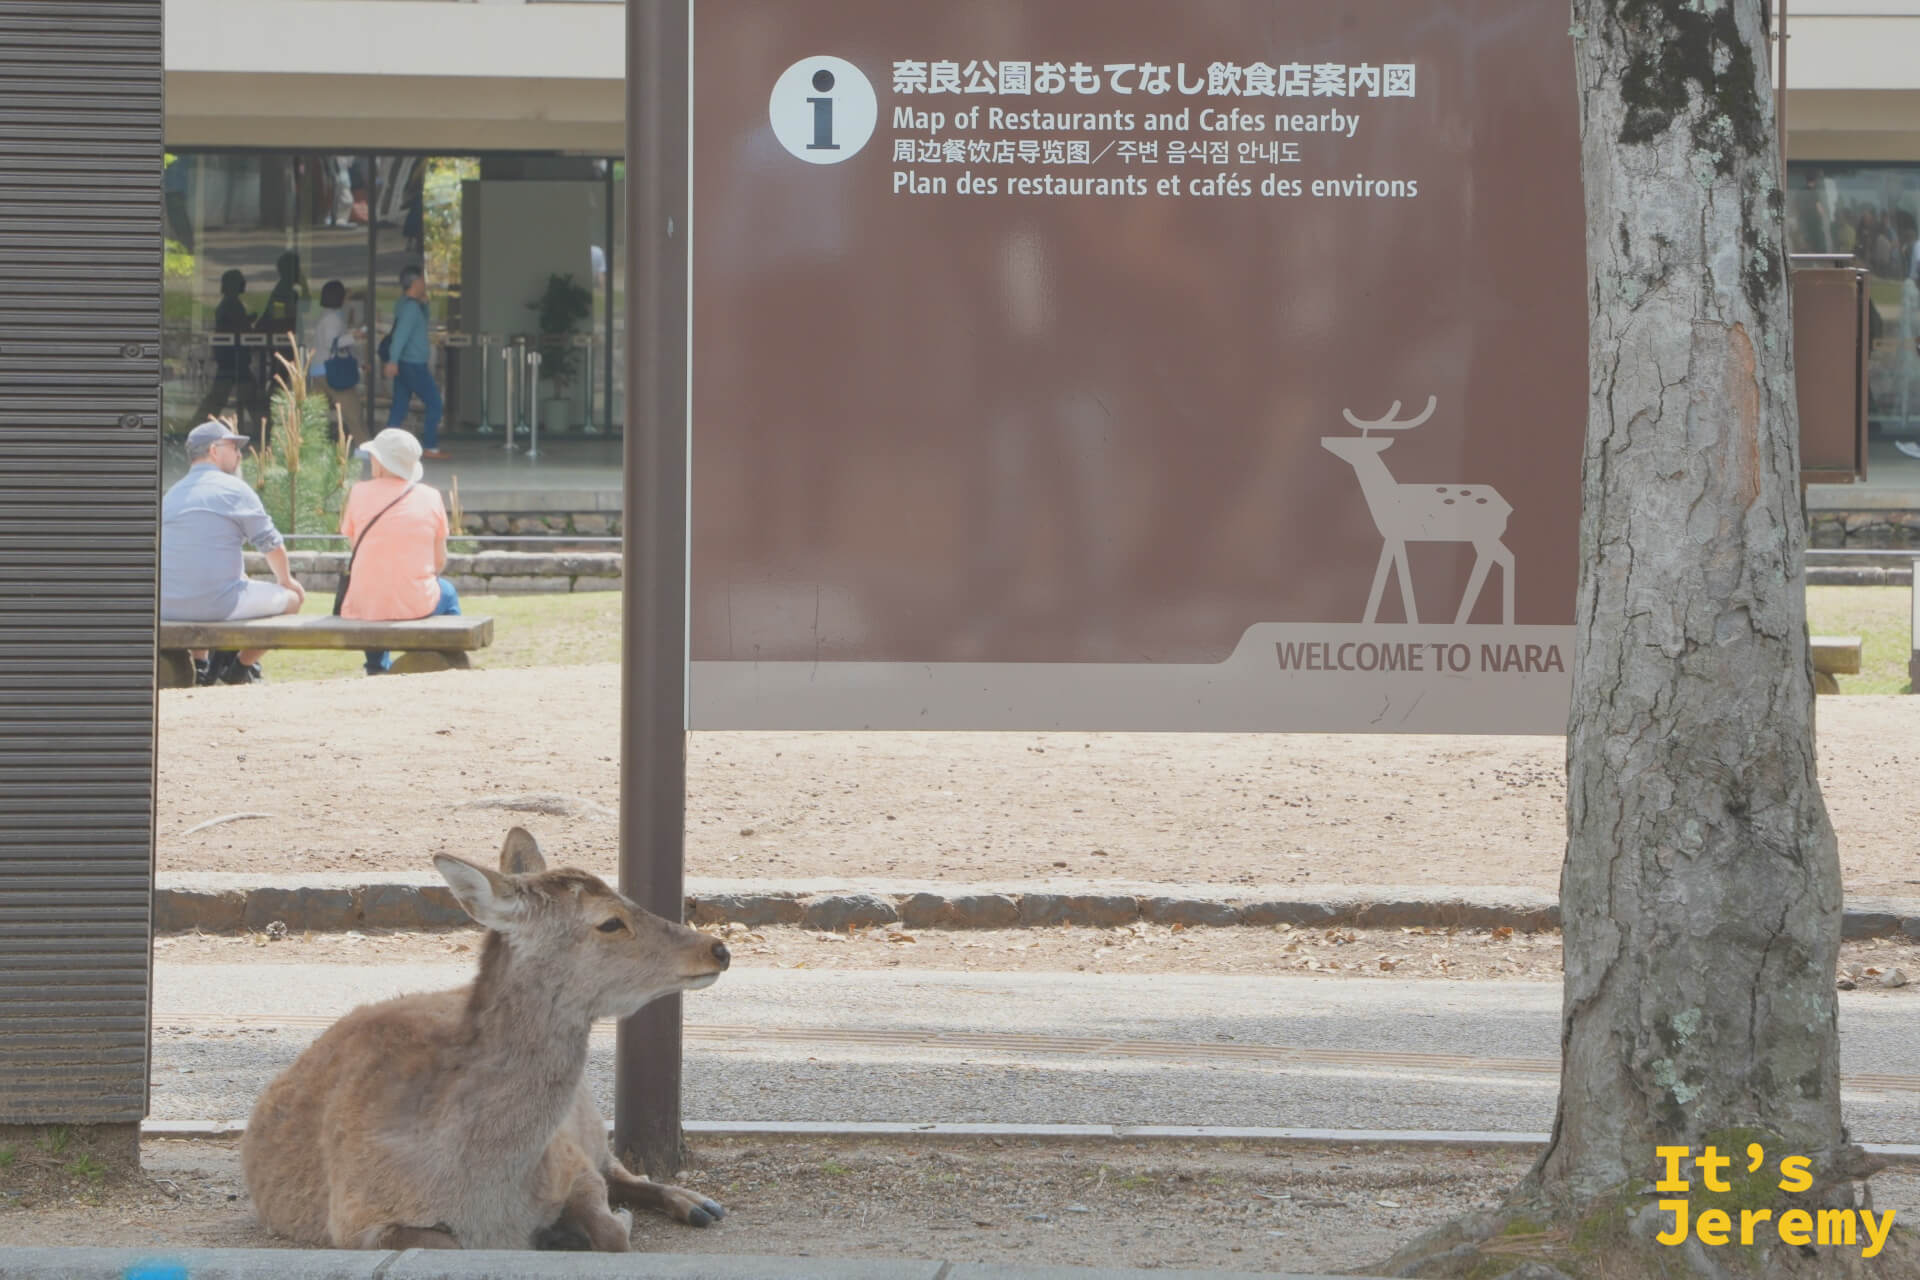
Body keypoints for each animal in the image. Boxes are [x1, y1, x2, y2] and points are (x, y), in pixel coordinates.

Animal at [239, 827, 732, 1252]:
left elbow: (612, 1232)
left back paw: (698, 1204)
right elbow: (447, 1243)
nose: (718, 948)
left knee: (622, 1170)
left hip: (590, 1117)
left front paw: (594, 1225)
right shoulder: (355, 1220)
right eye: (610, 922)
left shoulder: (571, 1157)